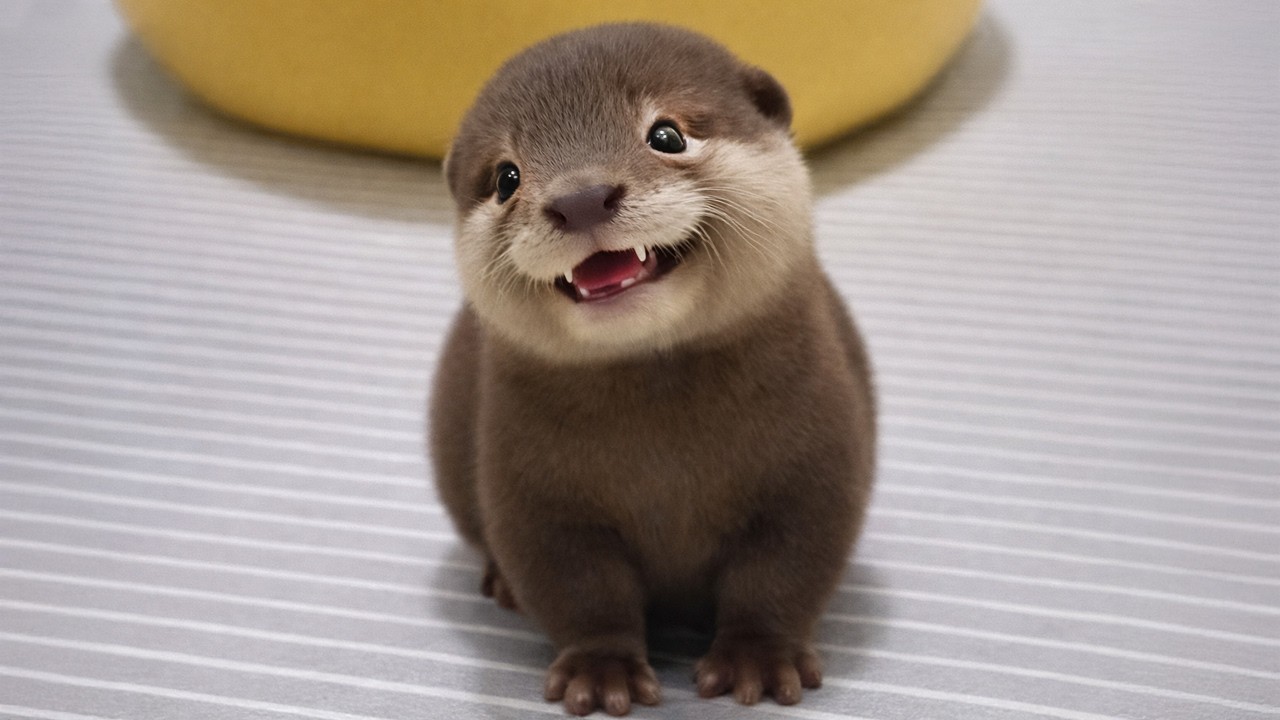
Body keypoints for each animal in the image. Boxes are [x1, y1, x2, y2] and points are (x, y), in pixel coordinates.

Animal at [430, 23, 875, 716]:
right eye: (506, 177)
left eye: (667, 135)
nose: (581, 198)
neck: (667, 462)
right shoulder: (535, 497)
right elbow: (581, 588)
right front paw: (601, 670)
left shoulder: (817, 469)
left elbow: (781, 573)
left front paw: (758, 660)